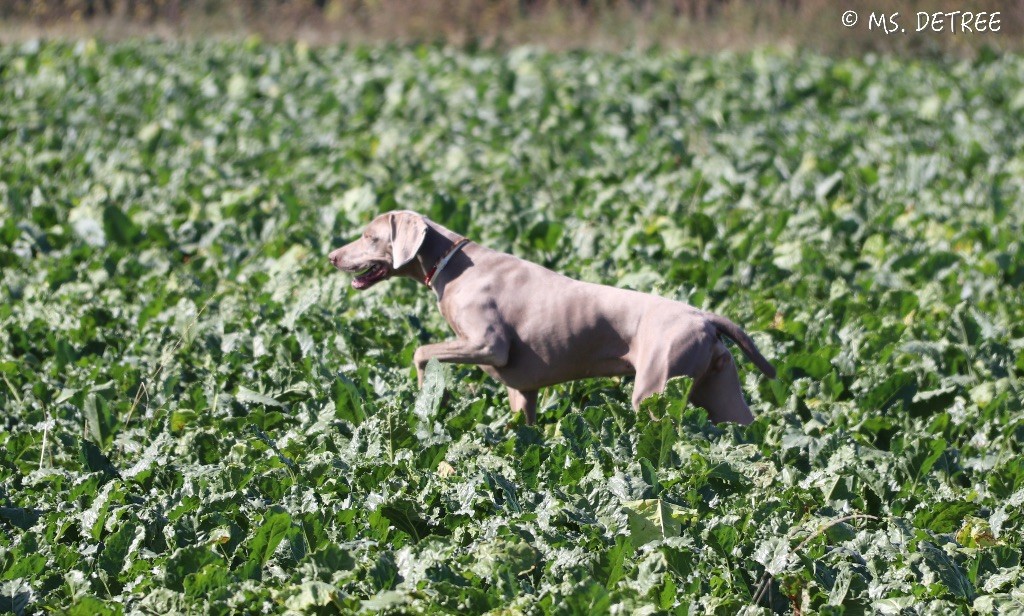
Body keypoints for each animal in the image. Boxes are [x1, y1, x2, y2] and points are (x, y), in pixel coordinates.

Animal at [329, 208, 774, 423]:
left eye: (370, 237)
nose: (331, 256)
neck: (449, 262)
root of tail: (705, 317)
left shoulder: (488, 345)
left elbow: (421, 351)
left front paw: (426, 393)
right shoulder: (521, 389)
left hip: (654, 390)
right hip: (721, 395)